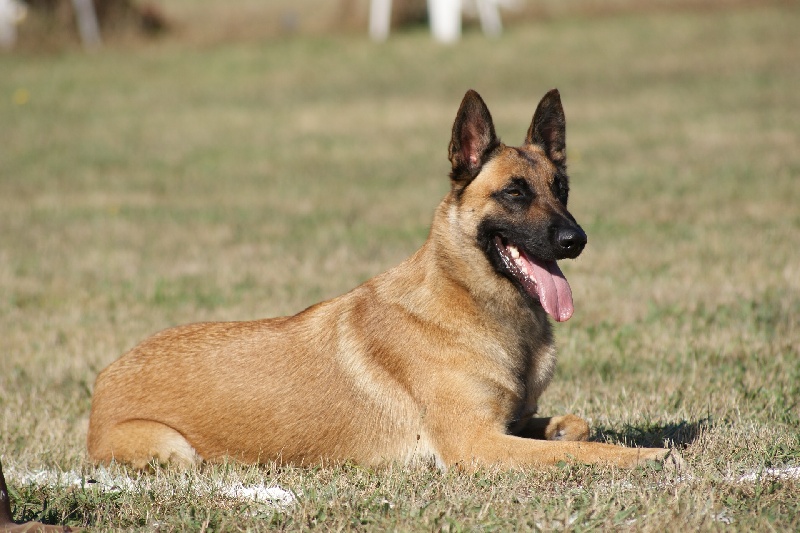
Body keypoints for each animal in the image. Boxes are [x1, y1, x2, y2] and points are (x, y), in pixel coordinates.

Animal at [86, 90, 676, 470]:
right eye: (514, 192)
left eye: (562, 189)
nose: (576, 240)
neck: (466, 298)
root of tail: (104, 379)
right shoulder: (477, 446)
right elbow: (584, 450)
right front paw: (648, 455)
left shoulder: (505, 425)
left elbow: (575, 428)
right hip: (174, 451)